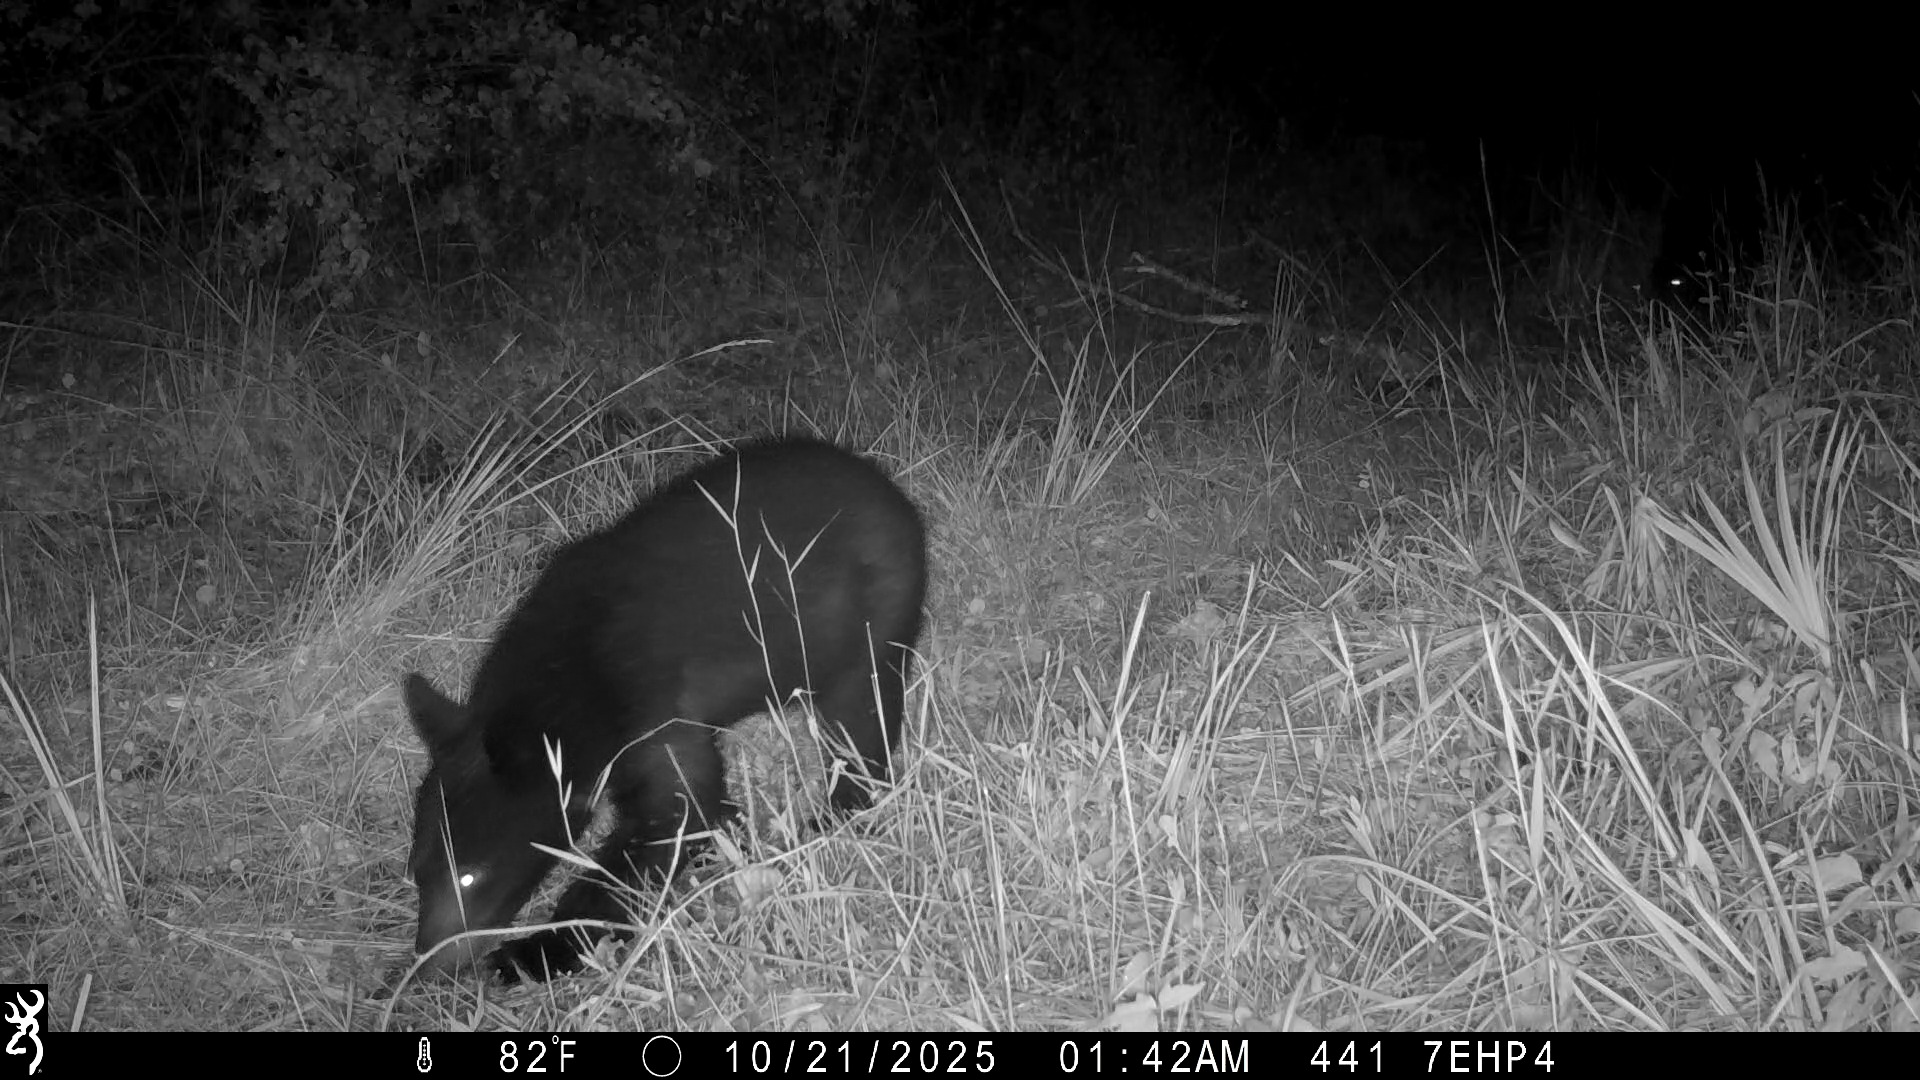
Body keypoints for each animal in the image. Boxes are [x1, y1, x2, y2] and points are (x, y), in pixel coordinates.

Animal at [403, 436, 927, 983]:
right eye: (416, 873)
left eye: (468, 877)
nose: (428, 964)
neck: (566, 673)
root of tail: (889, 488)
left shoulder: (645, 702)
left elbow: (678, 813)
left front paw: (534, 953)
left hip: (871, 620)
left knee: (861, 721)